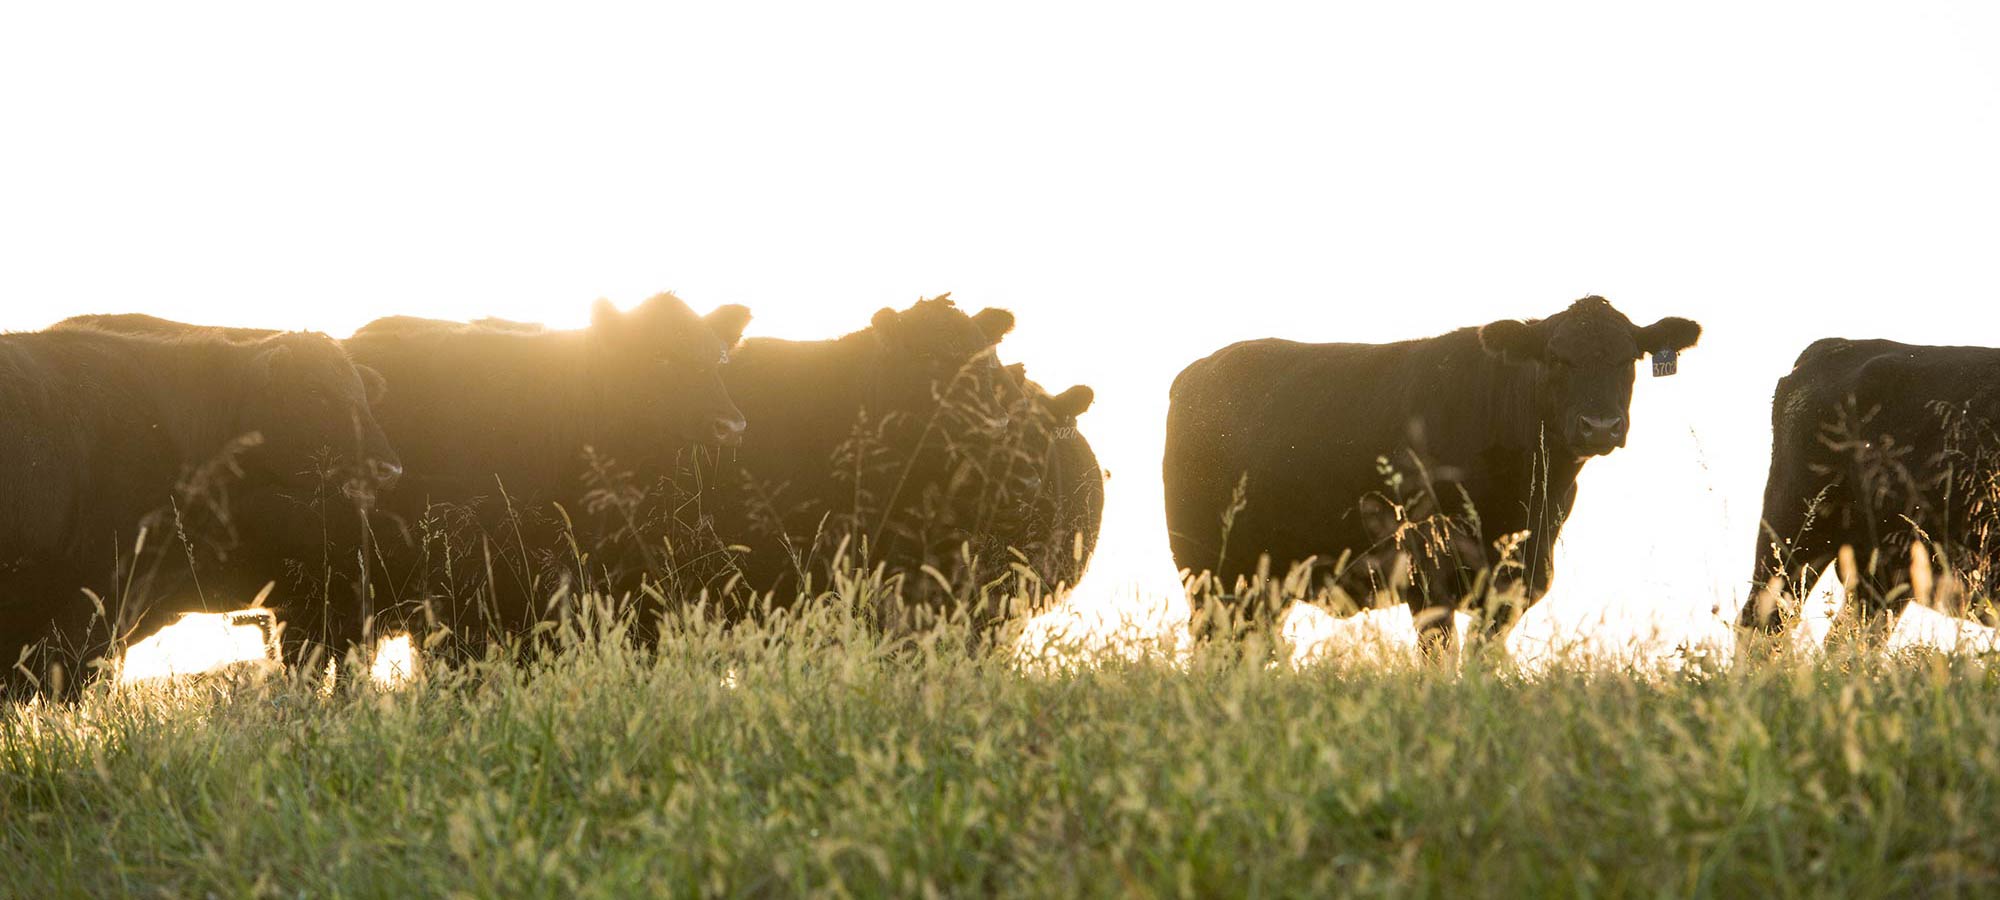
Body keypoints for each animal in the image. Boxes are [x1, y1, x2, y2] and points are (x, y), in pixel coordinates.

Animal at [1163, 295, 1701, 651]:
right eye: (1555, 357)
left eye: (1629, 358)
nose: (1600, 425)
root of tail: (1197, 373)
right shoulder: (1428, 576)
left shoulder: (1518, 580)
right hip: (1209, 568)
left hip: (1266, 583)